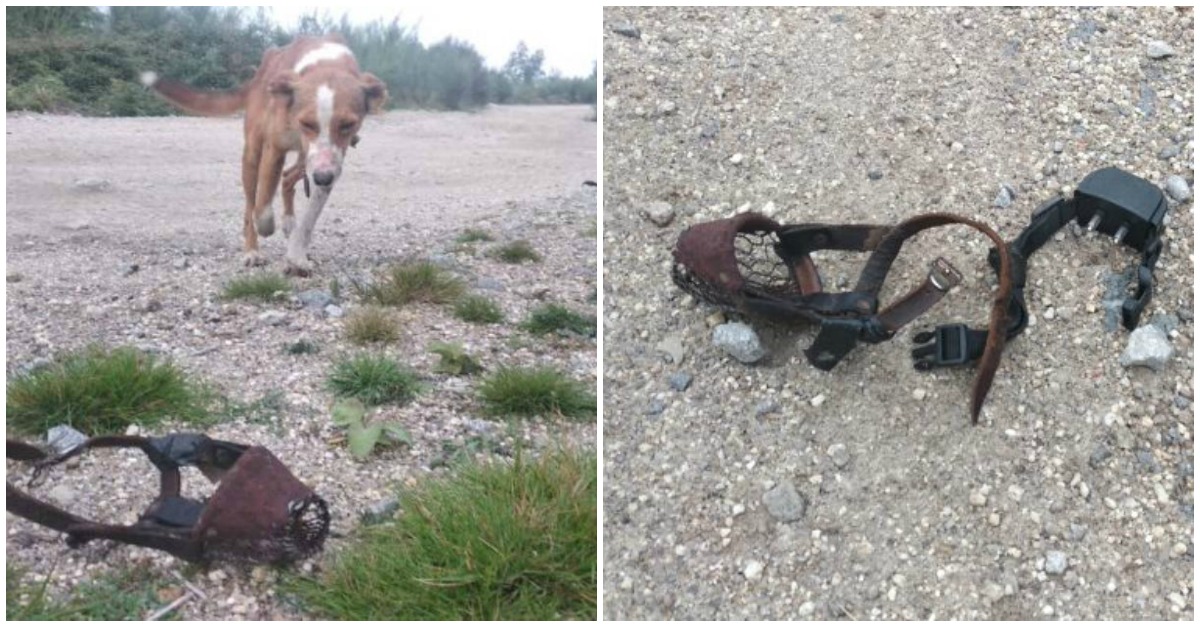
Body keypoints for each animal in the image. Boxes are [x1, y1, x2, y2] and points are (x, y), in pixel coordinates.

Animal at [141, 34, 386, 273]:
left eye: (348, 124)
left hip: (303, 159)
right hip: (252, 154)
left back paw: (288, 221)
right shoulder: (274, 150)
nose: (323, 177)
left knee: (287, 178)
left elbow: (308, 219)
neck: (327, 62)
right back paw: (252, 250)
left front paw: (297, 256)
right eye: (307, 123)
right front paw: (266, 227)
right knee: (251, 204)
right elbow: (262, 208)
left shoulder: (328, 162)